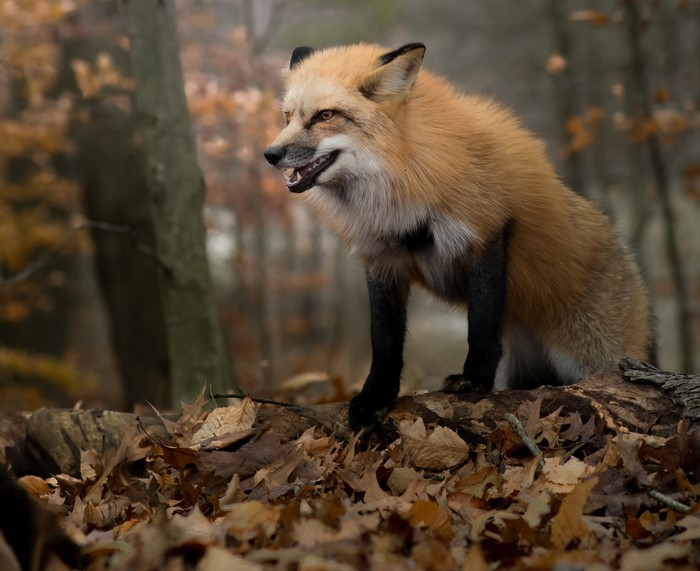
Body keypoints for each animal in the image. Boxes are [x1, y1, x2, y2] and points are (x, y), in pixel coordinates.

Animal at [264, 42, 656, 432]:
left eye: (325, 115)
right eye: (287, 117)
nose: (270, 154)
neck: (405, 181)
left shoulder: (487, 235)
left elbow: (481, 326)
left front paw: (475, 381)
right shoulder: (382, 260)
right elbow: (385, 341)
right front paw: (376, 397)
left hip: (595, 359)